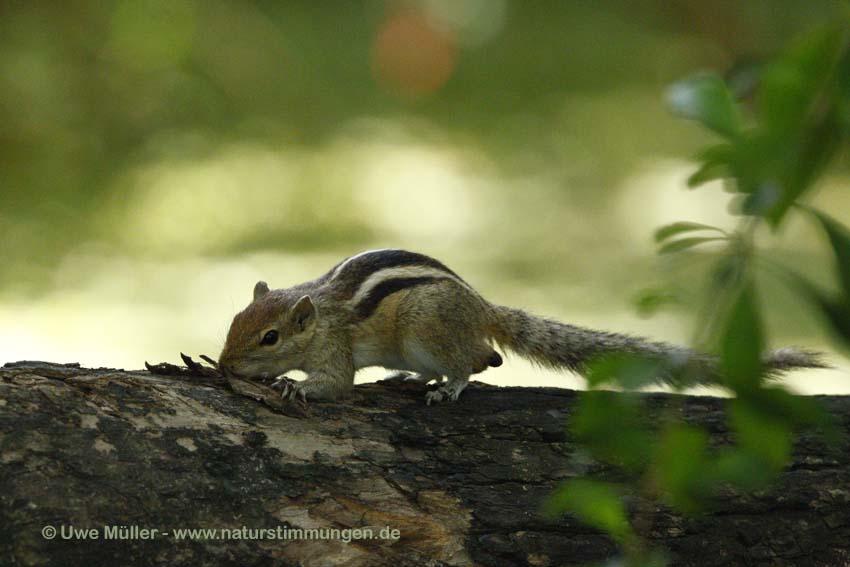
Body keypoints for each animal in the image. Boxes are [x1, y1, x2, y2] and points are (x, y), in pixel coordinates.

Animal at [217, 248, 820, 404]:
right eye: (234, 321)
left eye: (270, 337)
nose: (223, 365)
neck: (320, 312)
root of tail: (483, 307)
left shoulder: (336, 349)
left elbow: (336, 384)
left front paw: (291, 384)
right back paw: (411, 378)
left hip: (424, 328)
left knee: (482, 359)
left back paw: (449, 385)